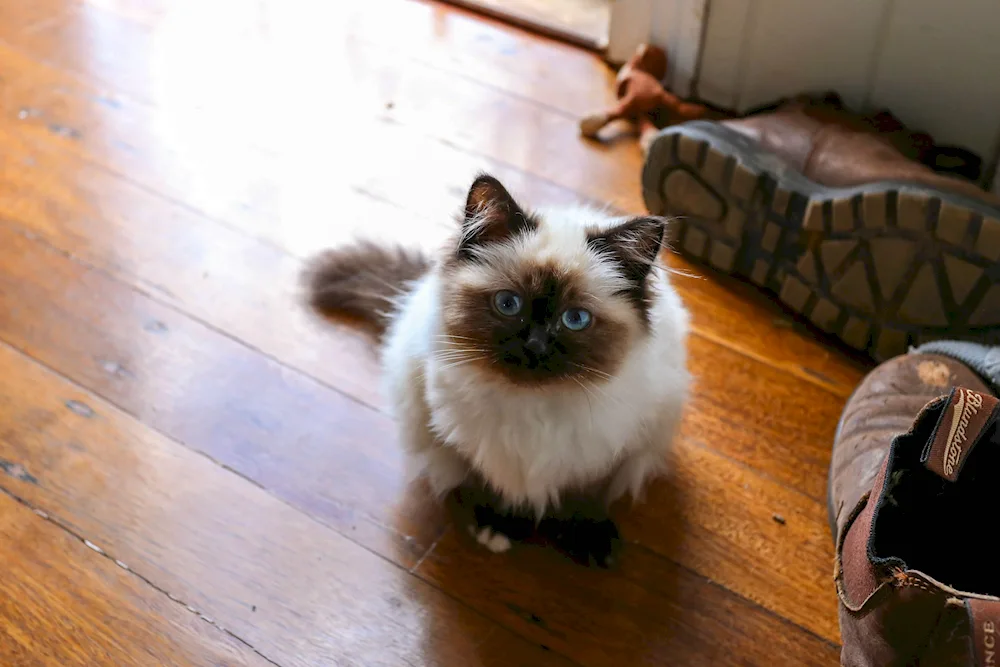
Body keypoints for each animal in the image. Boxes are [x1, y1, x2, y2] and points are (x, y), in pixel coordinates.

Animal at [308, 175, 692, 568]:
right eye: (509, 304)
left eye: (575, 319)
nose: (535, 346)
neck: (534, 407)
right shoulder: (480, 447)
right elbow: (496, 488)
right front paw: (500, 528)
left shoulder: (605, 454)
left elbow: (585, 499)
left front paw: (589, 540)